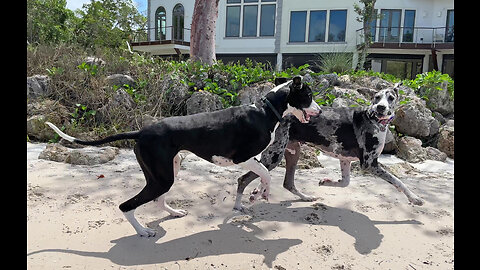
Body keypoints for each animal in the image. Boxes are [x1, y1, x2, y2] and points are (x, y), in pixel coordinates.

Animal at [47, 75, 320, 236]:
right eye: (308, 96)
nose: (318, 112)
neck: (265, 110)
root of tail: (141, 132)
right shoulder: (242, 158)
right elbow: (265, 174)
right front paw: (259, 194)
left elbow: (260, 175)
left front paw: (255, 194)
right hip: (162, 177)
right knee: (126, 205)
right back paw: (143, 231)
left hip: (168, 170)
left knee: (157, 200)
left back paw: (173, 213)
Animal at [235, 82, 424, 211]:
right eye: (376, 97)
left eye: (391, 98)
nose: (381, 107)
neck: (373, 118)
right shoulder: (369, 163)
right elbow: (398, 182)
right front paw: (414, 198)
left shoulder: (345, 159)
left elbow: (345, 182)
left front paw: (326, 182)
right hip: (274, 157)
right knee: (246, 178)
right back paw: (249, 198)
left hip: (293, 152)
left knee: (287, 183)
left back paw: (303, 197)